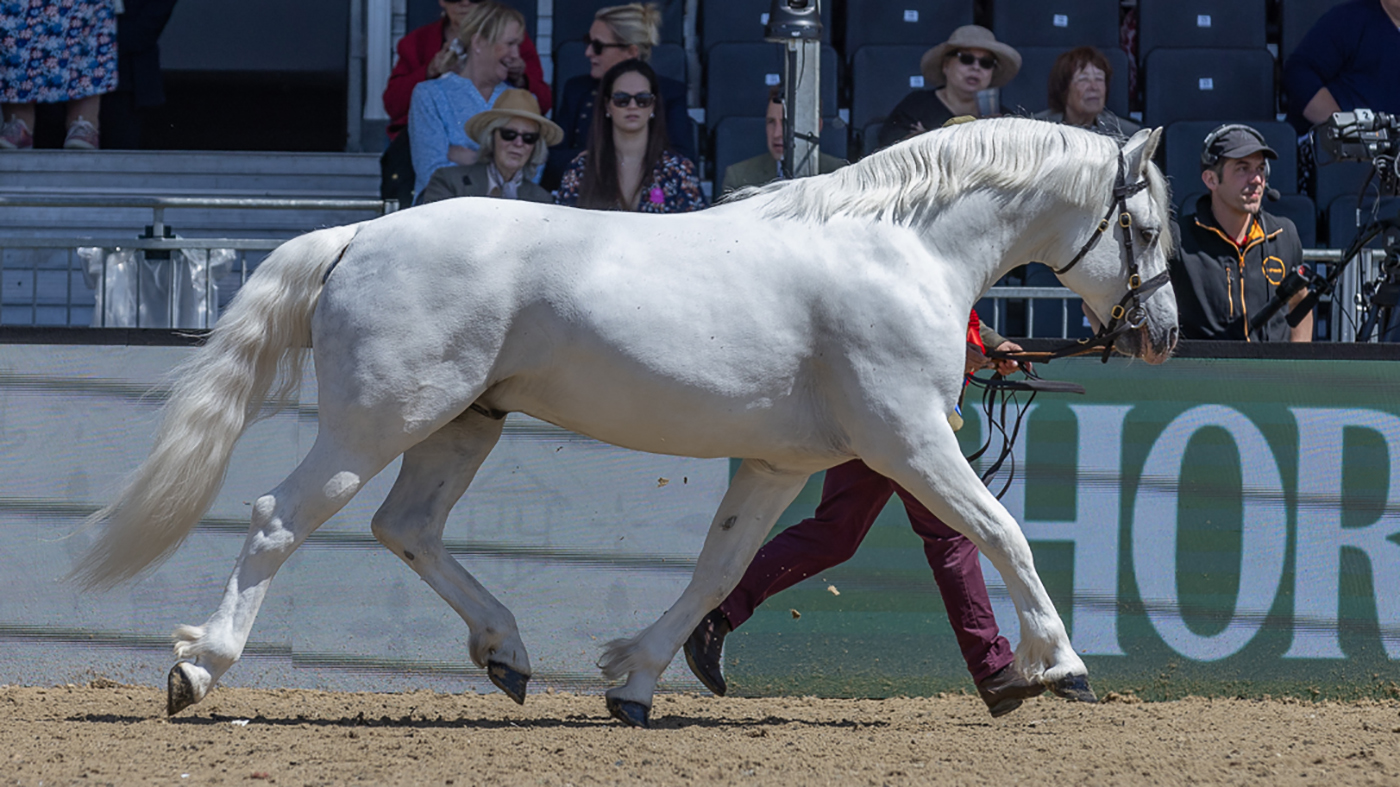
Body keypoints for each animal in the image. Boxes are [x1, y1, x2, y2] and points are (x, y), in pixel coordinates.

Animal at [71, 118, 1177, 728]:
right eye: (1148, 224)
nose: (1162, 331)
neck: (900, 250)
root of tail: (356, 236)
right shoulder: (908, 438)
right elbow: (1001, 532)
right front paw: (1060, 666)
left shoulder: (779, 463)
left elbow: (719, 570)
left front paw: (633, 681)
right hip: (376, 423)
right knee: (278, 519)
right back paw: (197, 669)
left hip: (463, 424)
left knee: (407, 527)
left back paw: (508, 654)